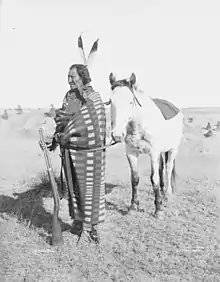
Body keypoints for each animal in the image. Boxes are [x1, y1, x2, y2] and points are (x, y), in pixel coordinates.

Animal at [106, 72, 184, 218]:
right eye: (111, 102)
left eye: (130, 102)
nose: (117, 135)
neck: (140, 125)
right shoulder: (131, 153)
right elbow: (135, 179)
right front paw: (132, 207)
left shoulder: (153, 153)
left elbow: (154, 179)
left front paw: (158, 210)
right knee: (161, 169)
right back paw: (162, 192)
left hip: (173, 149)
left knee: (168, 168)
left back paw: (167, 195)